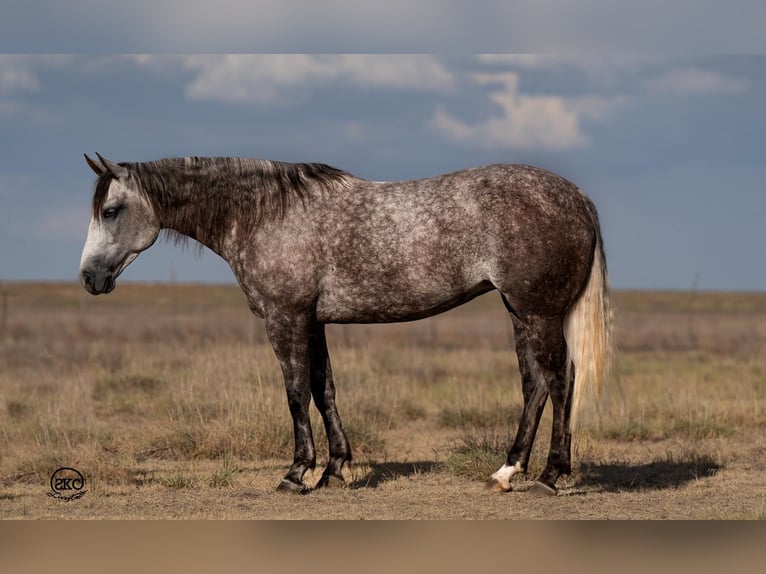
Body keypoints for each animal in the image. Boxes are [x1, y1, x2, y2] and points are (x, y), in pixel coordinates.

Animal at [81, 154, 616, 500]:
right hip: (520, 312)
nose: (89, 278)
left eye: (110, 211)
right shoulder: (313, 322)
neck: (265, 216)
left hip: (537, 312)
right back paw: (506, 472)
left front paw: (296, 473)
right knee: (535, 385)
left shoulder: (286, 318)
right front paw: (334, 469)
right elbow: (324, 391)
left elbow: (296, 392)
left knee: (559, 381)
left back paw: (550, 475)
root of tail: (578, 198)